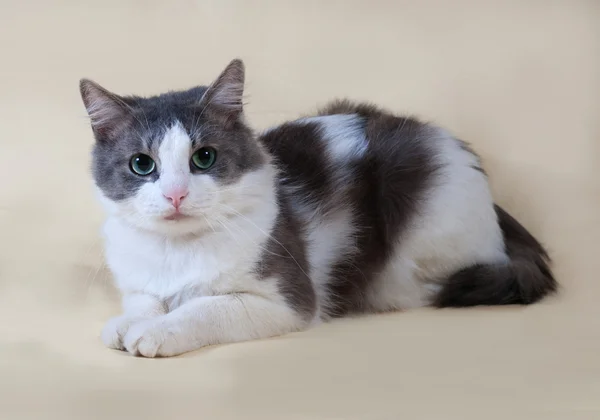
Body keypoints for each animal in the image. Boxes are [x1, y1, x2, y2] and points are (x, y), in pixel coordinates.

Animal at [79, 57, 556, 356]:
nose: (176, 195)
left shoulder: (285, 299)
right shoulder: (138, 279)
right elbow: (142, 302)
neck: (176, 252)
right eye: (142, 165)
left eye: (204, 158)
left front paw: (155, 331)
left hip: (430, 221)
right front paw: (127, 323)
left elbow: (205, 307)